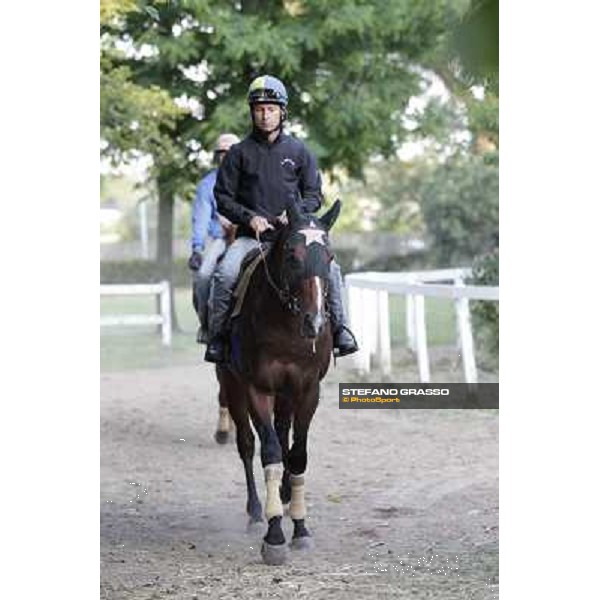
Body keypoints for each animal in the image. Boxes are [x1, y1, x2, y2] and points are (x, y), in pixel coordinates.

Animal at [217, 199, 340, 564]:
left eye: (330, 257)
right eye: (292, 255)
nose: (315, 322)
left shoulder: (308, 389)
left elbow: (297, 455)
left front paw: (300, 528)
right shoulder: (258, 388)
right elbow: (269, 452)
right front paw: (274, 535)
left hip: (287, 394)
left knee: (283, 431)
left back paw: (285, 495)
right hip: (233, 383)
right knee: (247, 443)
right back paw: (257, 512)